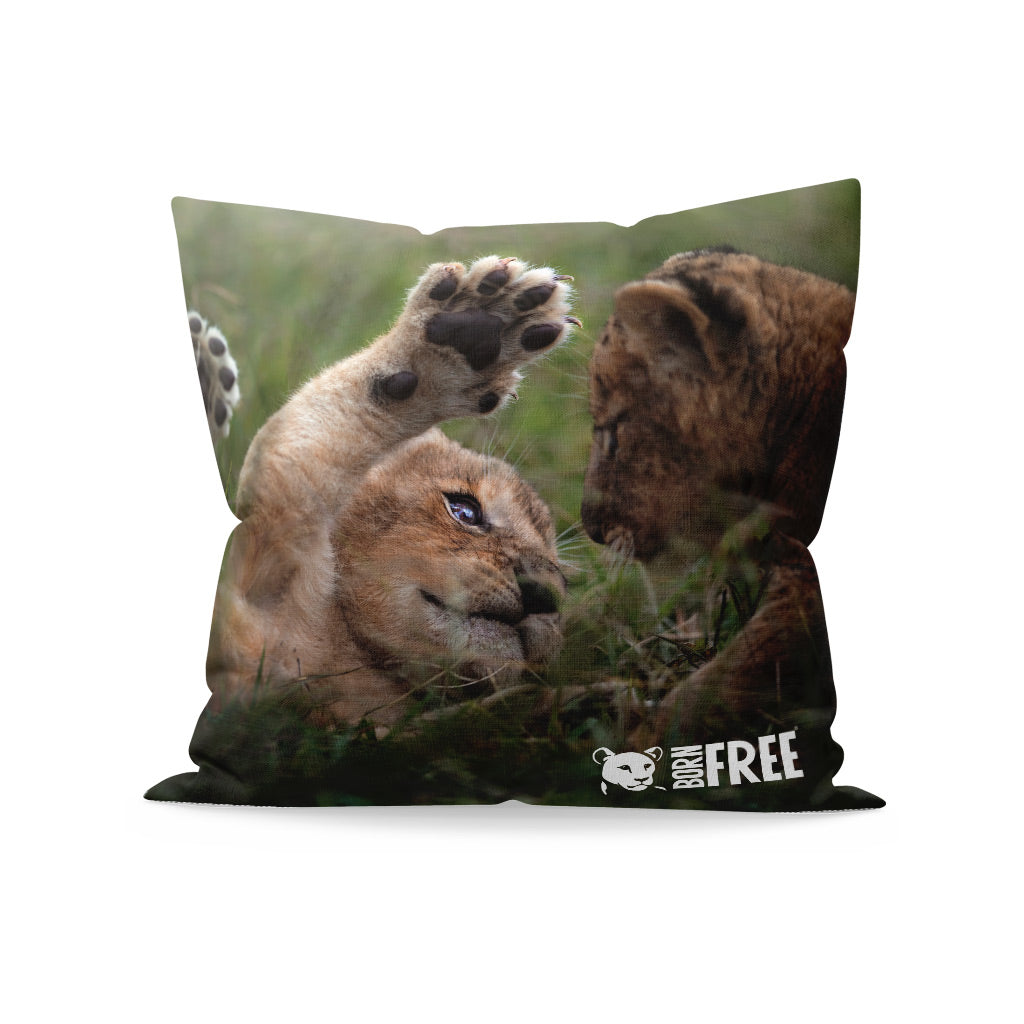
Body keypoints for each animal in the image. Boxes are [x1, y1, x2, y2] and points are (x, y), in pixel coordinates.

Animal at [206, 256, 577, 727]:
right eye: (464, 511)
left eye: (565, 578)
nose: (545, 594)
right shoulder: (265, 547)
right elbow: (316, 424)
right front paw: (472, 331)